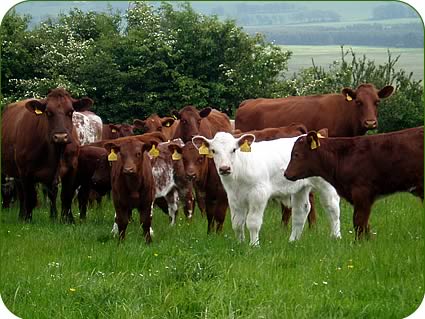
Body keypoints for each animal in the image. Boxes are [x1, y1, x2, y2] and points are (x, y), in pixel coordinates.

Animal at [1, 87, 91, 222]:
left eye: (70, 112)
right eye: (48, 112)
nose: (61, 137)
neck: (55, 151)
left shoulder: (72, 168)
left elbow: (67, 195)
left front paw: (68, 220)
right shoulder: (25, 172)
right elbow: (30, 197)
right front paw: (27, 219)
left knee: (51, 193)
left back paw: (53, 217)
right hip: (16, 172)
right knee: (22, 195)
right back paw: (22, 216)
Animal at [192, 131, 342, 246]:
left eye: (233, 150)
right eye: (213, 151)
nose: (224, 168)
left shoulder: (258, 194)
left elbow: (253, 222)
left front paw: (254, 245)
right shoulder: (234, 197)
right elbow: (237, 223)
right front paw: (240, 244)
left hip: (325, 184)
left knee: (332, 207)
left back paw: (336, 236)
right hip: (300, 188)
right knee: (301, 211)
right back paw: (293, 241)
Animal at [284, 126, 422, 239]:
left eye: (296, 154)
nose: (286, 174)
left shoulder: (362, 193)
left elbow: (359, 222)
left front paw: (359, 244)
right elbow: (366, 224)